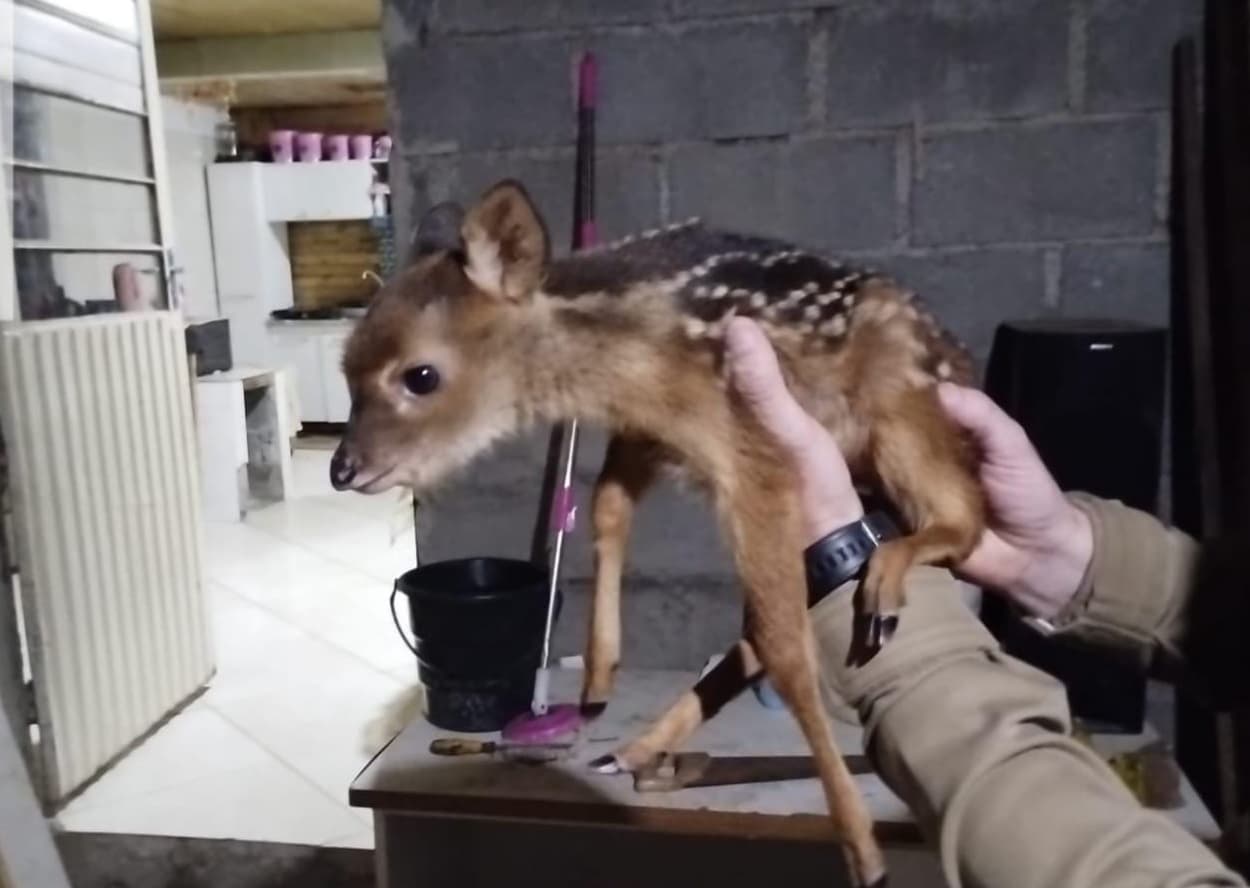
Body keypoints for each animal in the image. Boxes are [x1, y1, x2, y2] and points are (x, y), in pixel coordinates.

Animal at [330, 179, 986, 888]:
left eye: (420, 375)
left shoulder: (757, 451)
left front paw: (863, 850)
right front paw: (597, 678)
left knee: (963, 518)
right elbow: (607, 505)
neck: (631, 359)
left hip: (902, 408)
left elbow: (788, 652)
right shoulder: (653, 431)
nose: (343, 468)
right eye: (347, 372)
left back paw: (886, 581)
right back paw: (634, 749)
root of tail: (960, 359)